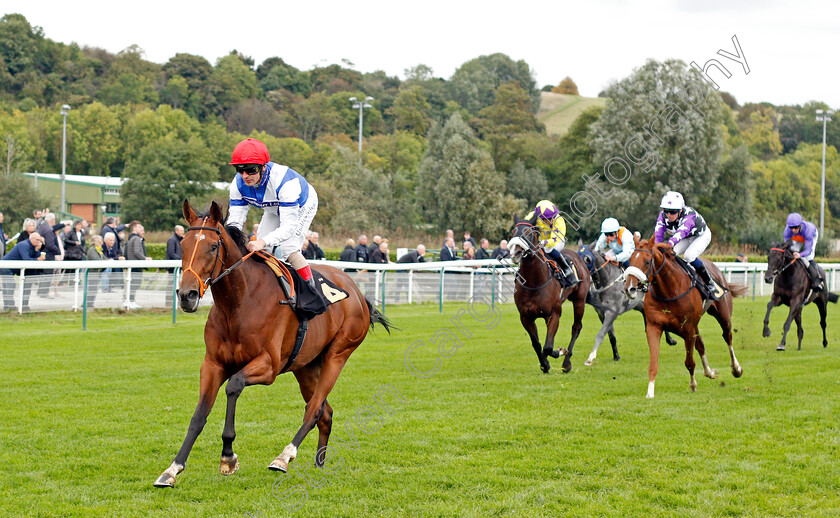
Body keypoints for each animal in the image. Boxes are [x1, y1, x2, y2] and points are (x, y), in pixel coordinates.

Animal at [154, 201, 390, 490]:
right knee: (326, 412)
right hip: (306, 367)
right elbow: (198, 416)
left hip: (338, 354)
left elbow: (233, 385)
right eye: (184, 245)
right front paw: (172, 469)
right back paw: (319, 464)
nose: (186, 295)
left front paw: (228, 456)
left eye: (212, 246)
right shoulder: (212, 364)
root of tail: (356, 292)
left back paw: (284, 457)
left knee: (314, 410)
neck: (239, 302)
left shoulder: (268, 366)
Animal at [506, 213, 592, 376]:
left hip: (579, 300)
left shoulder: (554, 314)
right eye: (513, 232)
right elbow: (537, 344)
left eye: (529, 233)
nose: (516, 252)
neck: (534, 283)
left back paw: (567, 363)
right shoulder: (525, 317)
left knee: (576, 327)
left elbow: (548, 347)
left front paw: (559, 352)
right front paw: (544, 364)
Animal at [624, 238, 740, 400]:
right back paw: (709, 372)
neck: (670, 290)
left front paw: (692, 385)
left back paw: (736, 369)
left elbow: (689, 362)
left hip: (723, 315)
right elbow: (653, 363)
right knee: (701, 345)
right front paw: (650, 392)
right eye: (629, 260)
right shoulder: (654, 326)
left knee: (727, 336)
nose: (629, 288)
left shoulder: (688, 330)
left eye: (647, 262)